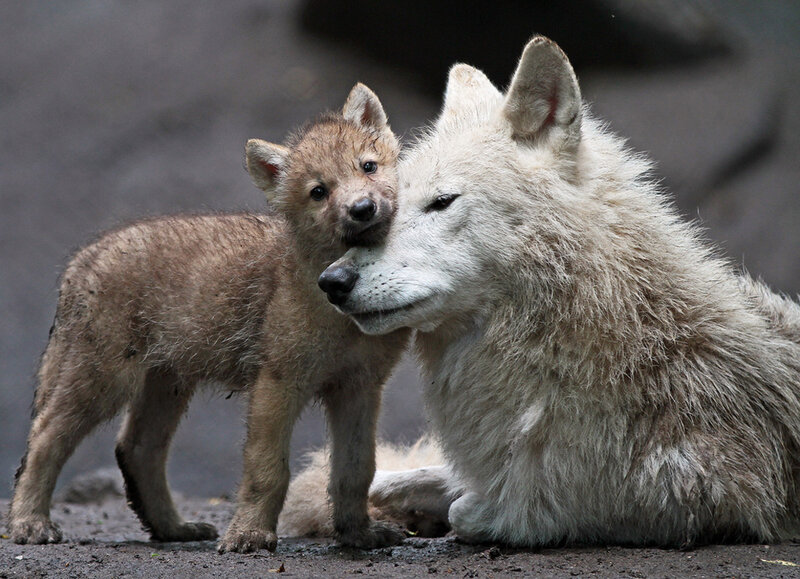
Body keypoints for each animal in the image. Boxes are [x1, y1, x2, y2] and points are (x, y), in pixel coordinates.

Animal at [8, 83, 410, 553]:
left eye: (368, 166)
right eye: (318, 192)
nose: (362, 208)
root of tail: (80, 262)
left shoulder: (359, 387)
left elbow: (356, 468)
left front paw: (359, 534)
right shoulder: (278, 381)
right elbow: (267, 469)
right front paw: (250, 535)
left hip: (166, 382)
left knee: (137, 449)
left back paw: (173, 529)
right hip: (103, 377)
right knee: (44, 438)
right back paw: (29, 524)